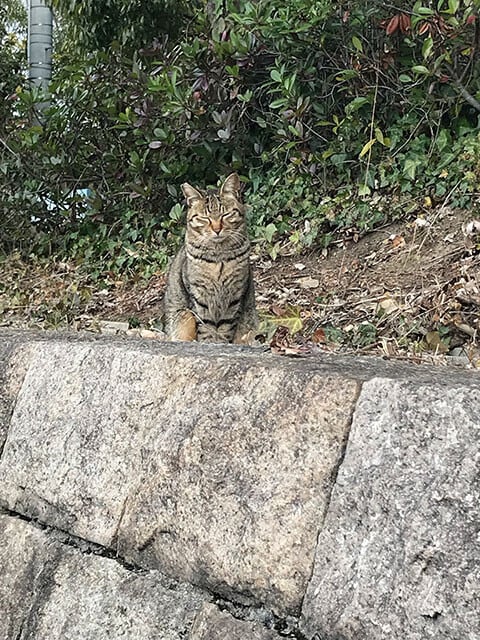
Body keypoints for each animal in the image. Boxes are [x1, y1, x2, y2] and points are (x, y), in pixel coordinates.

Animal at [162, 172, 258, 342]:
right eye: (204, 218)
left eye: (226, 214)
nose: (217, 229)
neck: (218, 258)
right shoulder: (199, 295)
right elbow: (206, 326)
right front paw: (209, 342)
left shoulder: (235, 295)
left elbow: (226, 327)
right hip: (182, 316)